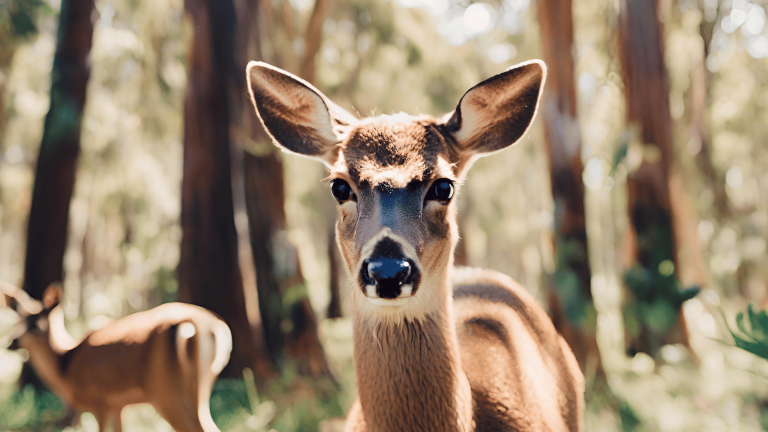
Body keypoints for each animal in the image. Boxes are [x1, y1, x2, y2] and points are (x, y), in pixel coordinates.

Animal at [1, 281, 232, 432]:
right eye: (18, 319)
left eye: (36, 324)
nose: (11, 342)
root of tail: (211, 327)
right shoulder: (118, 406)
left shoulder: (99, 401)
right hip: (201, 386)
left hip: (167, 393)